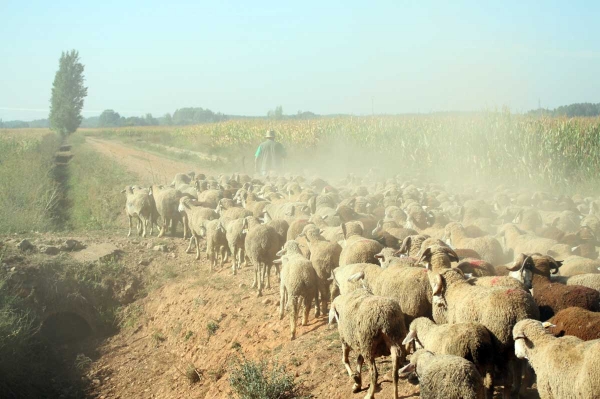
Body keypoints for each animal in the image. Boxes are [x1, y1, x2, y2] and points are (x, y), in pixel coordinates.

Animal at [426, 268, 540, 396]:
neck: (455, 291)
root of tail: (522, 311)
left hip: (501, 346)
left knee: (508, 376)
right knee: (522, 369)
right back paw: (518, 391)